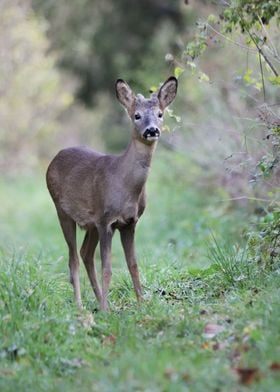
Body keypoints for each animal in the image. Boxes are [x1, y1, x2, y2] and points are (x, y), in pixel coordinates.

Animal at [46, 76, 177, 310]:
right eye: (137, 115)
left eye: (160, 114)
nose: (152, 130)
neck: (125, 186)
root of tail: (54, 159)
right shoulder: (106, 220)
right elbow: (107, 268)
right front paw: (108, 311)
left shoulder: (129, 223)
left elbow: (133, 264)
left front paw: (141, 303)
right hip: (62, 210)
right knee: (73, 258)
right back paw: (81, 306)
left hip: (91, 223)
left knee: (85, 254)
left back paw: (99, 301)